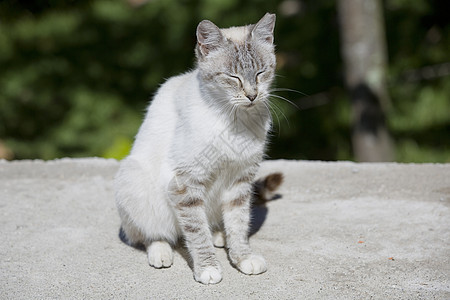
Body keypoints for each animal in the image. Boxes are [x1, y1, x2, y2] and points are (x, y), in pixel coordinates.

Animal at [114, 12, 280, 284]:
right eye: (233, 77)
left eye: (261, 73)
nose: (252, 95)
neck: (236, 121)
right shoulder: (184, 183)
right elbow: (196, 232)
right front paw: (208, 268)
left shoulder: (241, 180)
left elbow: (238, 223)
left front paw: (242, 257)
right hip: (133, 177)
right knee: (149, 235)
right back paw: (161, 252)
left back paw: (220, 235)